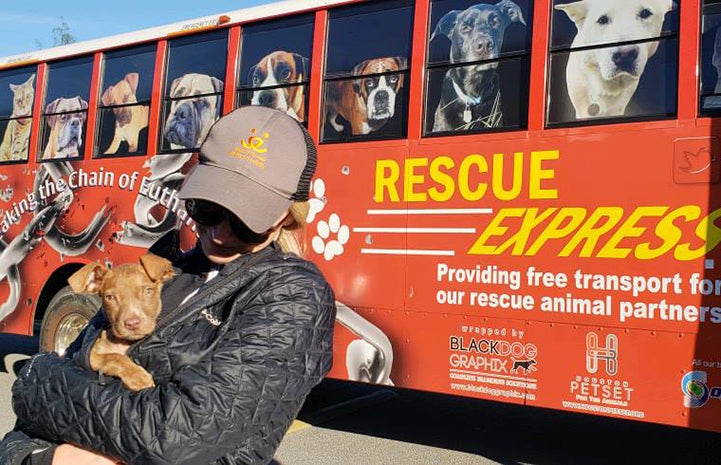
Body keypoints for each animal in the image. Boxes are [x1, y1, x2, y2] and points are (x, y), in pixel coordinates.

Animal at [68, 252, 174, 390]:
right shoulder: (86, 355)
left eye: (148, 291)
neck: (125, 342)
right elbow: (114, 357)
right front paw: (138, 376)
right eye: (110, 297)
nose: (132, 323)